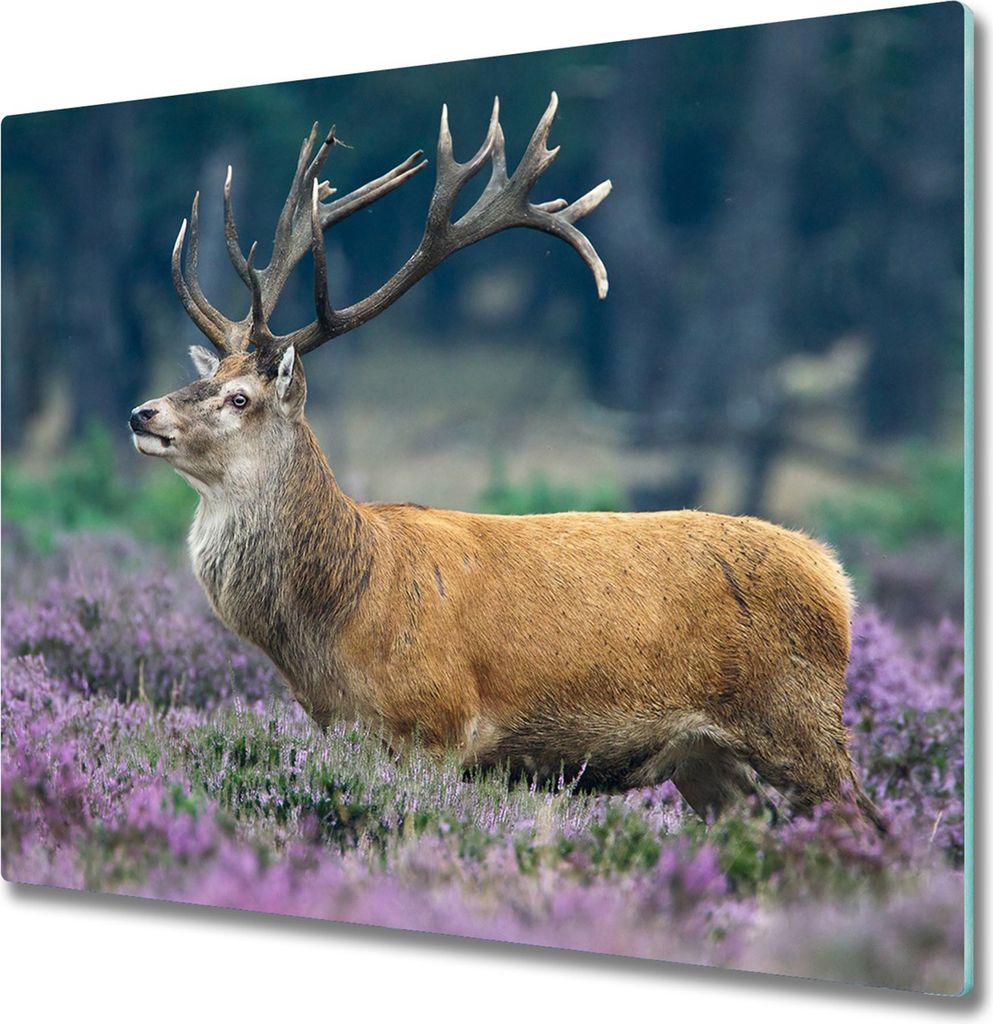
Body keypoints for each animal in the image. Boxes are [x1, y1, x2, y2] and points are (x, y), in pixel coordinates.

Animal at [130, 94, 883, 829]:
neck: (342, 610)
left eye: (240, 397)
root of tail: (835, 578)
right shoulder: (350, 733)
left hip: (799, 722)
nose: (143, 413)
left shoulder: (435, 725)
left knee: (870, 820)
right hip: (709, 759)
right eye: (205, 376)